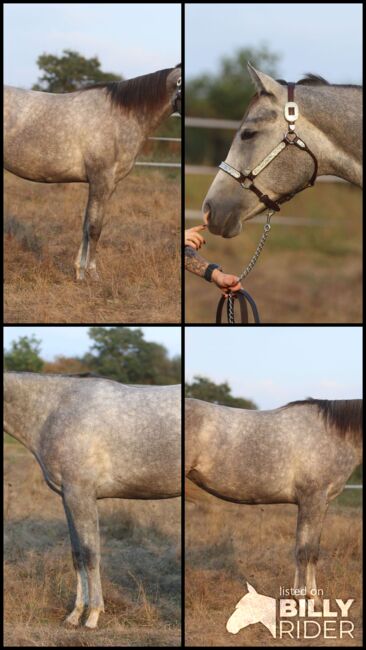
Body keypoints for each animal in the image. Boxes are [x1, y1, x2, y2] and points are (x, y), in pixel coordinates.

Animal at [2, 372, 180, 624]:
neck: (54, 409)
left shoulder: (81, 494)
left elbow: (90, 554)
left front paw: (93, 615)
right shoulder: (67, 497)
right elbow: (77, 555)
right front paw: (75, 614)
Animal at [4, 64, 182, 278]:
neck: (120, 117)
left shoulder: (107, 184)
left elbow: (86, 224)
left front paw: (80, 272)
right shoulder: (101, 180)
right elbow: (95, 227)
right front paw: (93, 273)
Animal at [187, 394, 362, 604]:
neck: (334, 434)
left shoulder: (322, 503)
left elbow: (313, 551)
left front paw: (314, 598)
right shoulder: (311, 500)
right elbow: (303, 551)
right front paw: (301, 599)